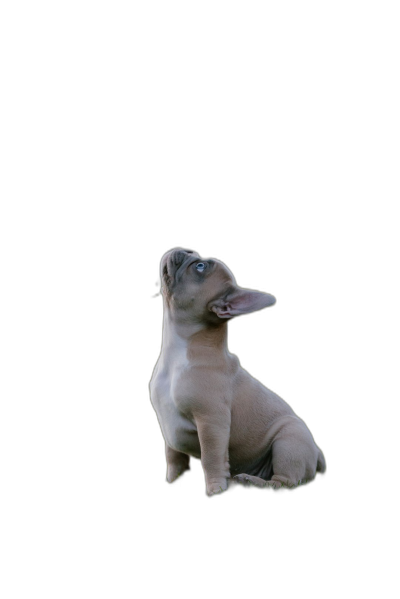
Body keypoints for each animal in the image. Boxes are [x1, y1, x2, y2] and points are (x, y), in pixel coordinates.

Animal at [149, 248, 324, 496]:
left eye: (200, 266)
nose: (187, 250)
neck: (177, 354)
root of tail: (317, 454)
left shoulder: (212, 423)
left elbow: (211, 458)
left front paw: (215, 489)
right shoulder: (170, 427)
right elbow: (174, 458)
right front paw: (173, 480)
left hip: (289, 440)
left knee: (285, 482)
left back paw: (250, 481)